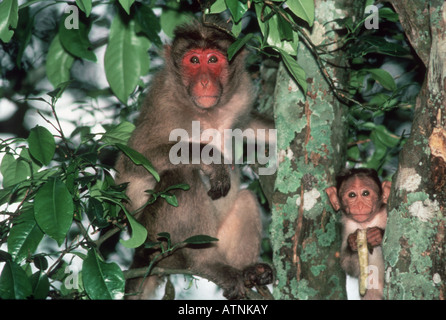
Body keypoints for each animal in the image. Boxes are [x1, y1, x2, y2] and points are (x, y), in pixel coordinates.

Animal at [114, 19, 276, 300]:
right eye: (193, 60)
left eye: (212, 59)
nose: (204, 82)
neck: (206, 113)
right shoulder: (163, 102)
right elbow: (133, 161)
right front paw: (212, 160)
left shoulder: (242, 95)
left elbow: (250, 125)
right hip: (157, 242)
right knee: (183, 176)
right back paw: (206, 264)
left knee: (245, 198)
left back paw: (247, 272)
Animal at [324, 169, 390, 298]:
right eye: (352, 195)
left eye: (365, 193)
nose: (359, 206)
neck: (367, 223)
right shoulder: (348, 227)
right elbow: (349, 266)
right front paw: (353, 243)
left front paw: (377, 234)